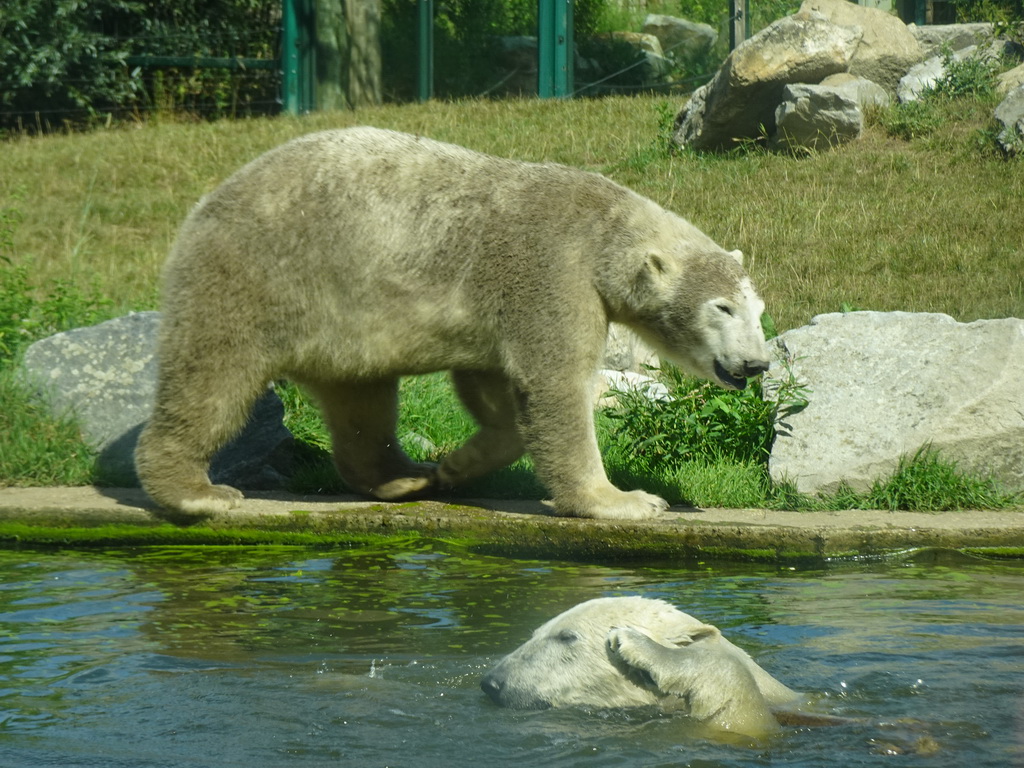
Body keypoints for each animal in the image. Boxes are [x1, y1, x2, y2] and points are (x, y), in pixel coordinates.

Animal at [138, 128, 774, 524]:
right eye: (722, 308)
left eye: (758, 310)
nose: (757, 362)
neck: (603, 232)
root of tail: (207, 203)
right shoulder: (552, 271)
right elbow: (556, 383)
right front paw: (626, 499)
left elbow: (493, 384)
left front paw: (456, 464)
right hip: (257, 277)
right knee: (213, 377)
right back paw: (197, 493)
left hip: (342, 317)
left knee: (361, 398)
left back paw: (405, 478)